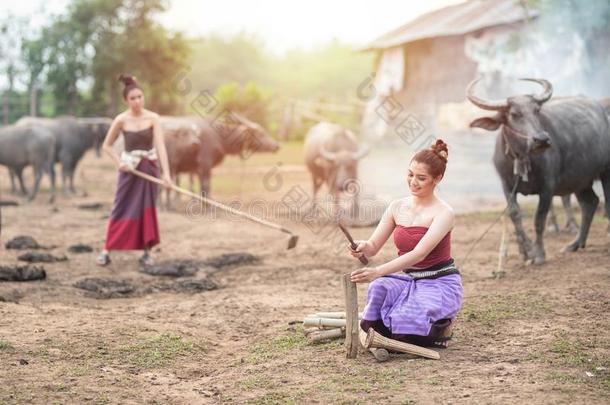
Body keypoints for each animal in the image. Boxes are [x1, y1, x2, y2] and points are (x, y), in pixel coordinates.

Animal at [466, 77, 608, 264]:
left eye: (536, 111)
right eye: (514, 114)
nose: (541, 139)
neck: (521, 158)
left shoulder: (547, 187)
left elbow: (539, 219)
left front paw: (539, 254)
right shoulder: (507, 186)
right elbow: (515, 215)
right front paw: (525, 251)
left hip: (606, 172)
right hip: (581, 180)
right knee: (590, 203)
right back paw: (575, 244)